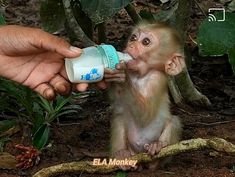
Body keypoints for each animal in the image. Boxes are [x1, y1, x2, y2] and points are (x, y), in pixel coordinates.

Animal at [105, 21, 185, 169]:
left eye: (146, 42)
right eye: (133, 38)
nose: (130, 45)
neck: (139, 76)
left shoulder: (157, 79)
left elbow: (145, 115)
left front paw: (123, 77)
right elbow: (117, 104)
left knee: (174, 121)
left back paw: (157, 148)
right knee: (119, 118)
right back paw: (121, 155)